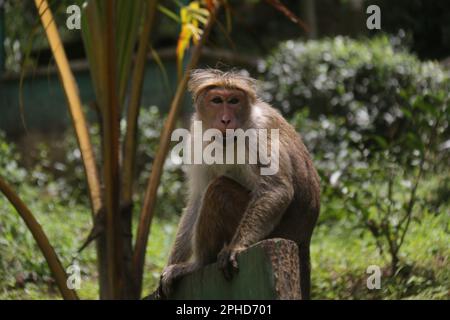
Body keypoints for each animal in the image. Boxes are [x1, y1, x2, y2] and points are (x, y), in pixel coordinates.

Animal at [158, 68, 320, 300]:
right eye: (217, 100)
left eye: (234, 101)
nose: (226, 119)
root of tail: (305, 237)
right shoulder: (198, 135)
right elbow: (197, 200)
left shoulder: (260, 130)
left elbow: (276, 189)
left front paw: (235, 247)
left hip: (278, 230)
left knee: (219, 189)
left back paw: (199, 263)